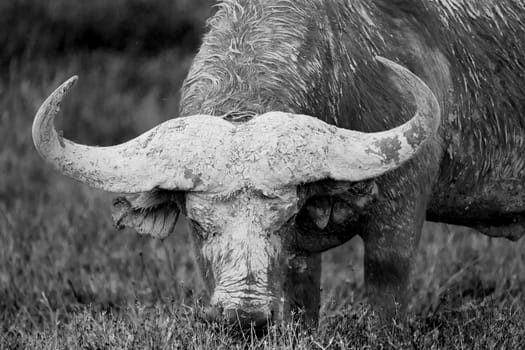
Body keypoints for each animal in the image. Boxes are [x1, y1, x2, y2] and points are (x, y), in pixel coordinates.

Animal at [32, 0, 524, 328]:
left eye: (283, 217)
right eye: (198, 223)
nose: (245, 317)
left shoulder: (400, 208)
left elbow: (387, 285)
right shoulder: (300, 259)